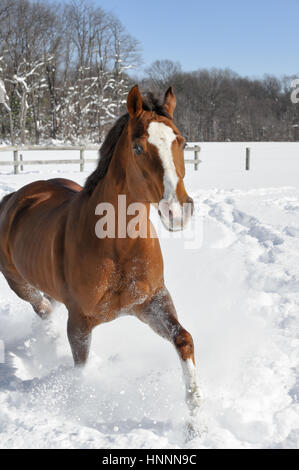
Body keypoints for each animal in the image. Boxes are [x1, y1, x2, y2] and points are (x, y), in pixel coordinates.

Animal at [0, 85, 203, 414]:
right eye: (138, 148)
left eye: (181, 142)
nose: (178, 211)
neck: (118, 246)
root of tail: (15, 198)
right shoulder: (79, 323)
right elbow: (81, 370)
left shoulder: (151, 301)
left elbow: (183, 339)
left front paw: (195, 417)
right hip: (21, 285)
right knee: (43, 310)